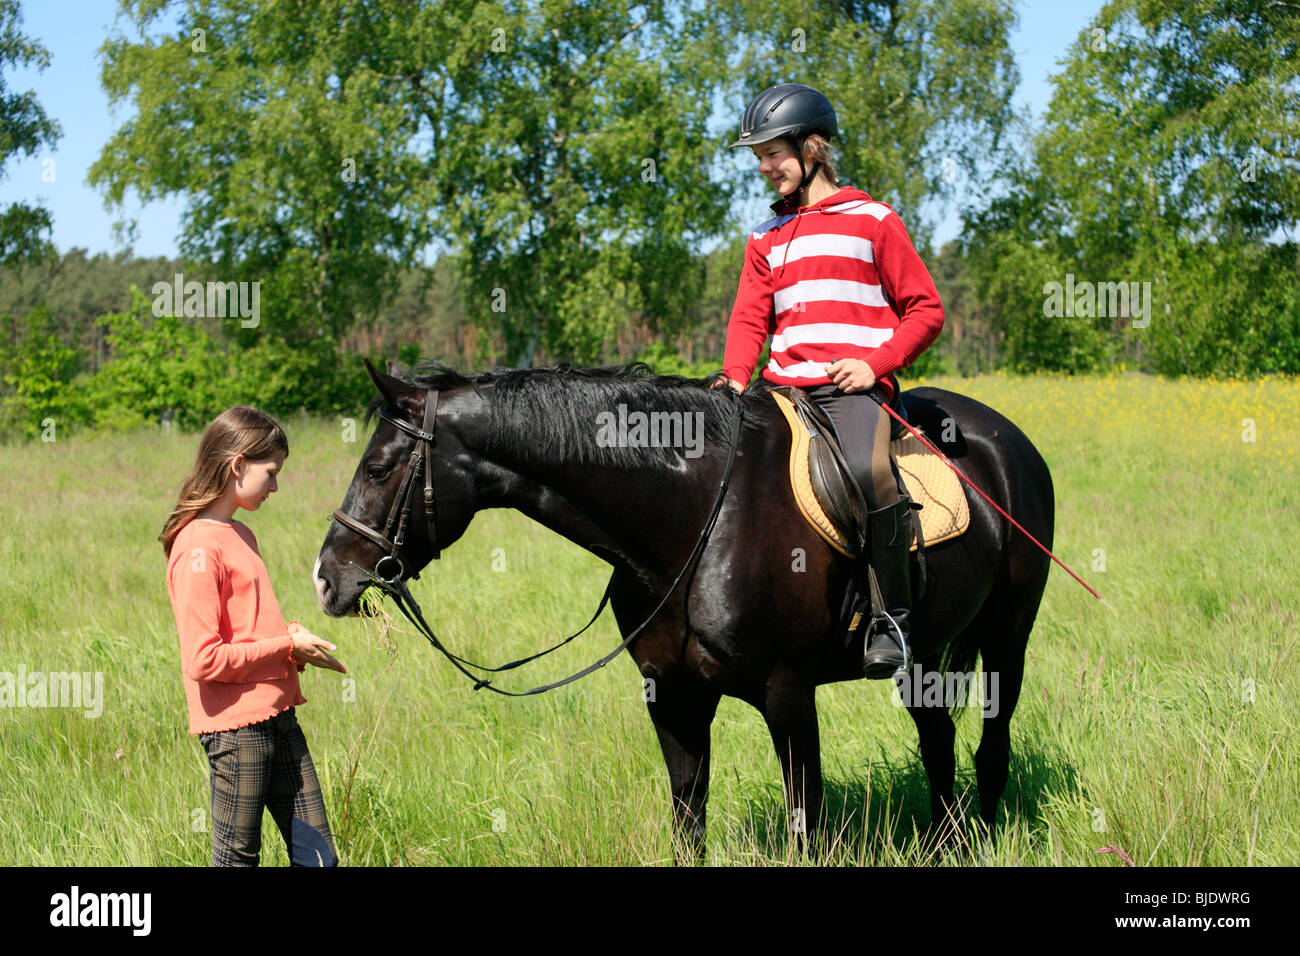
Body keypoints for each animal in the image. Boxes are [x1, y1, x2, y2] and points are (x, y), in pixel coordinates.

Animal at [312, 359, 1055, 859]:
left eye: (378, 468)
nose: (327, 578)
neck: (696, 519)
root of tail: (1007, 439)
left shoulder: (788, 694)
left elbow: (804, 826)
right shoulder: (672, 696)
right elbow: (688, 819)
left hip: (1007, 638)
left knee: (990, 746)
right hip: (925, 656)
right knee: (939, 741)